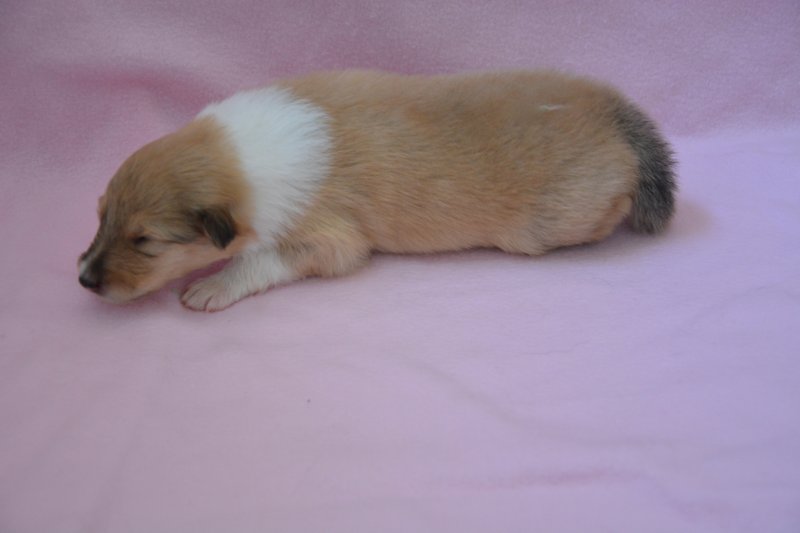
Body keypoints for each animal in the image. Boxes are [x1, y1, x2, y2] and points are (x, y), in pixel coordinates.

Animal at [78, 70, 676, 311]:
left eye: (146, 242)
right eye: (100, 214)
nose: (84, 280)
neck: (241, 153)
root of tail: (617, 113)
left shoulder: (330, 239)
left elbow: (260, 259)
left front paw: (211, 287)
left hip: (558, 219)